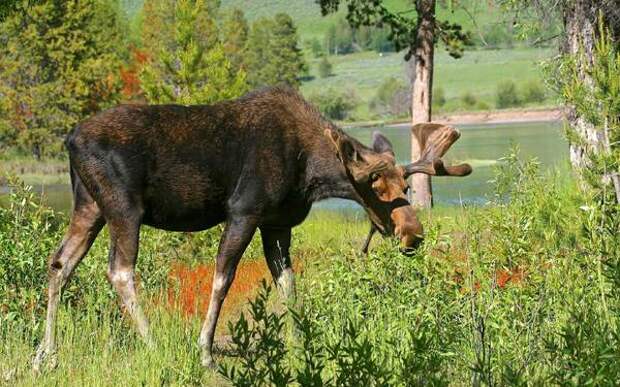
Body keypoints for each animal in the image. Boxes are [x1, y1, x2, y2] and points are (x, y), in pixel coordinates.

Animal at [32, 86, 470, 372]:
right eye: (376, 188)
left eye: (406, 188)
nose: (413, 234)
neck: (311, 174)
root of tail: (69, 139)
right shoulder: (244, 211)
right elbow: (222, 279)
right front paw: (205, 352)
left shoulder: (277, 223)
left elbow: (288, 283)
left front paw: (300, 342)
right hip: (124, 208)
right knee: (120, 271)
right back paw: (152, 343)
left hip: (88, 207)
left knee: (59, 264)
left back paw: (46, 354)